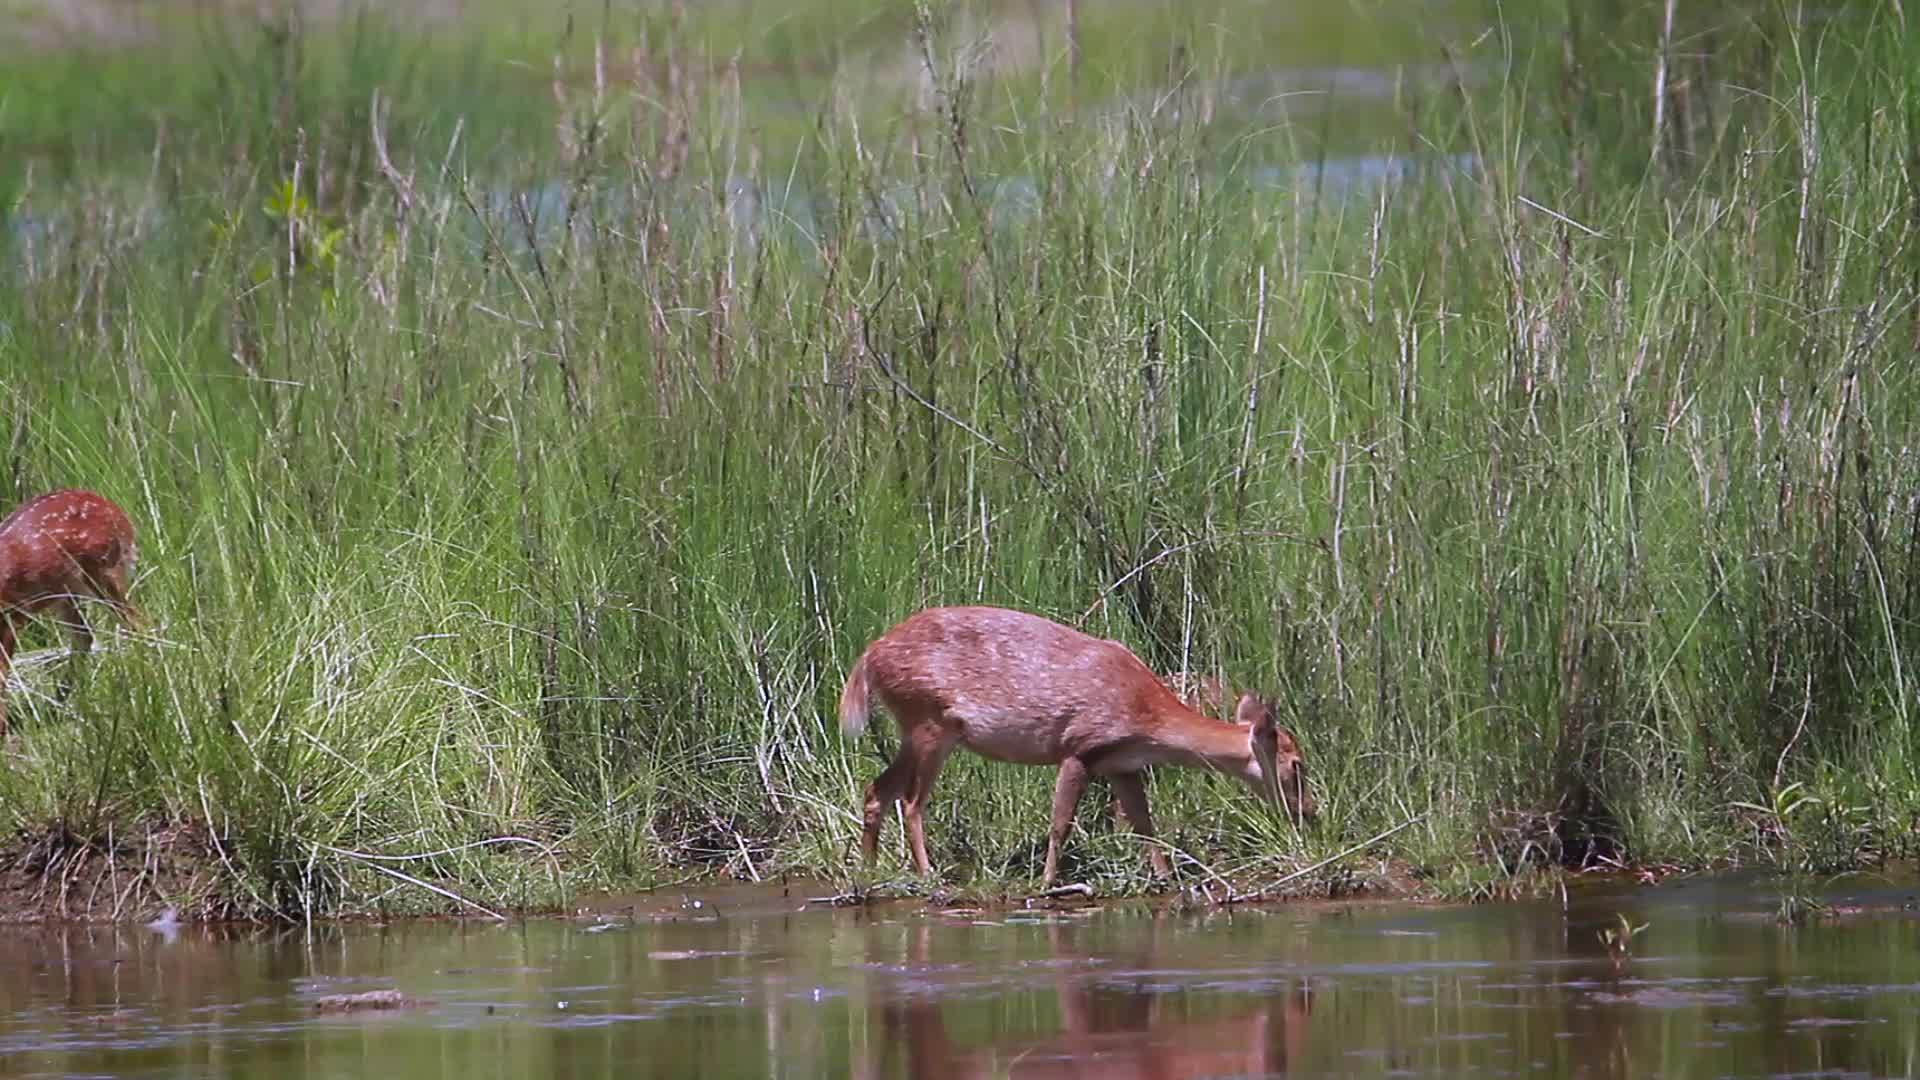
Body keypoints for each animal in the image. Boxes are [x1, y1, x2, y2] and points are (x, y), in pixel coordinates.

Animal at [0, 486, 142, 730]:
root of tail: (119, 513)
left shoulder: (12, 615)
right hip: (66, 591)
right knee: (85, 636)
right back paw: (55, 708)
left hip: (104, 570)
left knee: (138, 624)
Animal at [844, 607, 1313, 883]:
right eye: (1297, 764)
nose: (1309, 812)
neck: (1147, 715)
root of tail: (868, 658)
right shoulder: (1079, 747)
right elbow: (1060, 823)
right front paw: (1048, 883)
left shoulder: (1121, 763)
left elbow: (1143, 823)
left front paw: (1164, 877)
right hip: (928, 719)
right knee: (911, 801)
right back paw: (929, 875)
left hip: (914, 728)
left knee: (877, 789)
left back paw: (868, 870)